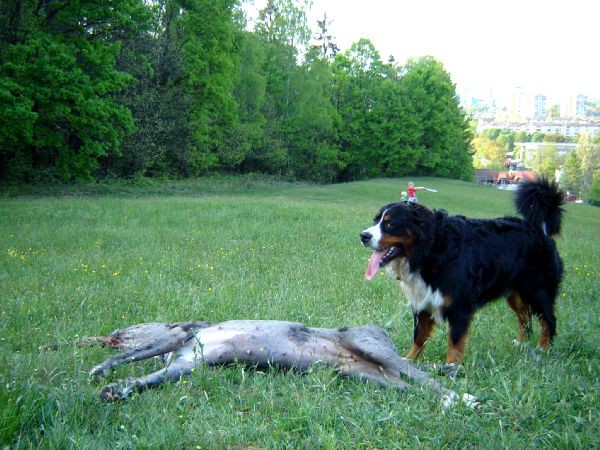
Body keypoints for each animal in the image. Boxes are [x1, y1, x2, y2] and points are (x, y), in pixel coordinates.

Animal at [358, 178, 564, 368]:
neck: (430, 251)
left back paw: (543, 349)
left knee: (548, 320)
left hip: (538, 291)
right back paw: (521, 343)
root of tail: (540, 231)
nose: (364, 236)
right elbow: (419, 336)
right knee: (524, 317)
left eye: (390, 224)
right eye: (376, 220)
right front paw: (408, 361)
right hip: (514, 292)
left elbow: (455, 342)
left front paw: (451, 368)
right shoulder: (422, 301)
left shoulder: (459, 305)